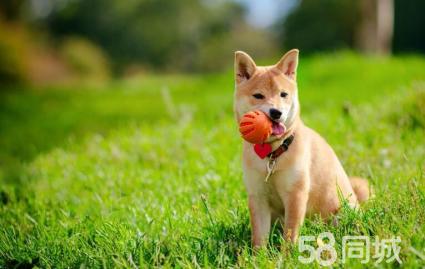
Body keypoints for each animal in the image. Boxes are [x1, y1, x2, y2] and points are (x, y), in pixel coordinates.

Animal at [234, 49, 370, 246]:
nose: (276, 112)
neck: (273, 153)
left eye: (283, 94)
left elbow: (290, 235)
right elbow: (259, 239)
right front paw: (258, 254)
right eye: (258, 95)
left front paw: (288, 254)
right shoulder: (257, 197)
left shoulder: (295, 195)